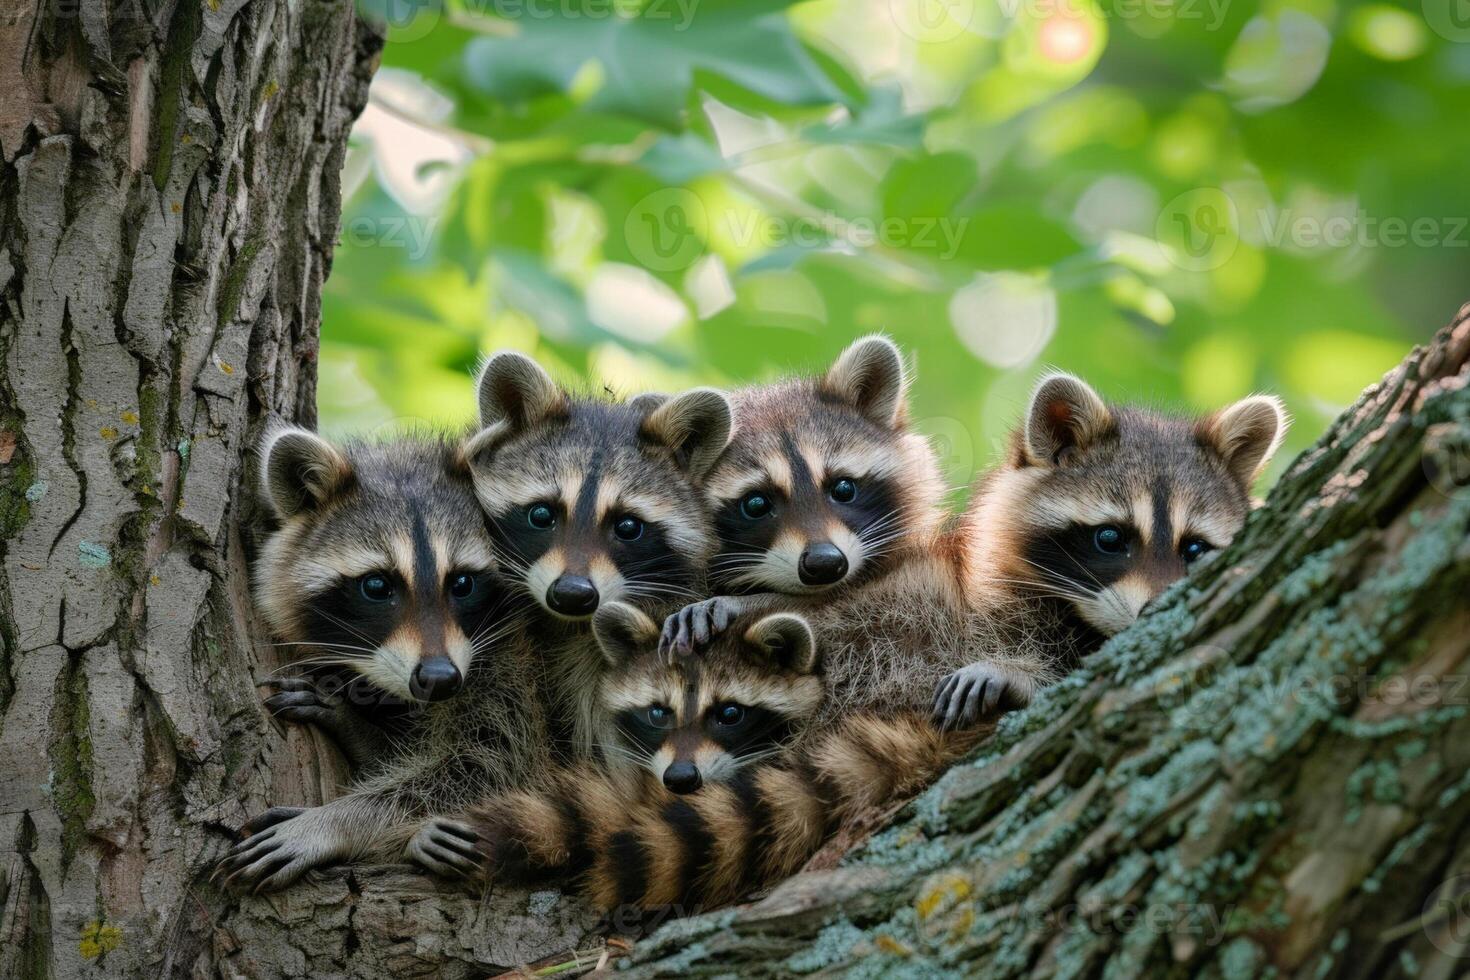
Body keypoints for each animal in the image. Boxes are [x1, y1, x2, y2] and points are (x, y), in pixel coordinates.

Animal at [213, 426, 546, 893]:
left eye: (463, 583)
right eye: (376, 585)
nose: (440, 677)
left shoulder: (514, 665)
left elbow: (491, 768)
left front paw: (334, 822)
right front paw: (358, 728)